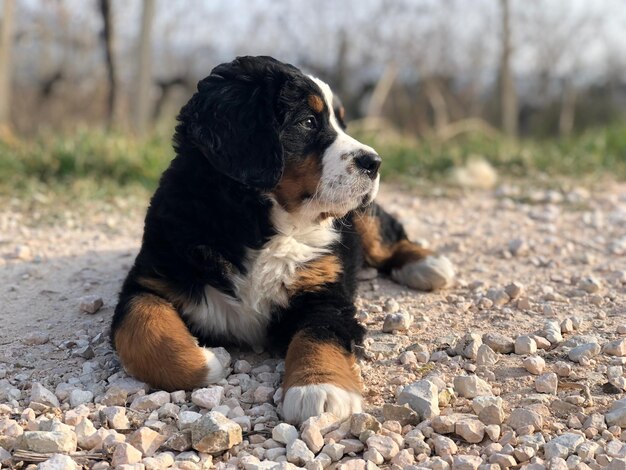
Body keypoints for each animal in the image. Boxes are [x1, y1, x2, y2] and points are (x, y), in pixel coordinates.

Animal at [111, 56, 454, 426]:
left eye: (341, 122)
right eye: (308, 122)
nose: (374, 162)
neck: (265, 229)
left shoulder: (325, 294)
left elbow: (317, 334)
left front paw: (319, 388)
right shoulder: (151, 278)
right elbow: (141, 330)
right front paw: (209, 361)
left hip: (362, 216)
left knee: (386, 235)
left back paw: (428, 264)